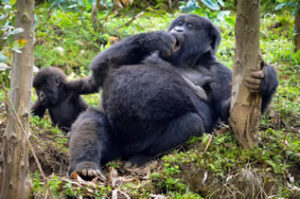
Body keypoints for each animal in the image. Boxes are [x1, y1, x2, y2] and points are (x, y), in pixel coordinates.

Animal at [68, 13, 278, 180]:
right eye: (178, 23)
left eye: (189, 26)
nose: (178, 29)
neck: (190, 60)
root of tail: (126, 152)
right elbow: (105, 67)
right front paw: (156, 38)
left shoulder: (221, 71)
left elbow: (229, 114)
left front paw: (266, 82)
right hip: (116, 147)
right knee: (92, 118)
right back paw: (86, 166)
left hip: (135, 147)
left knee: (191, 123)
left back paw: (142, 158)